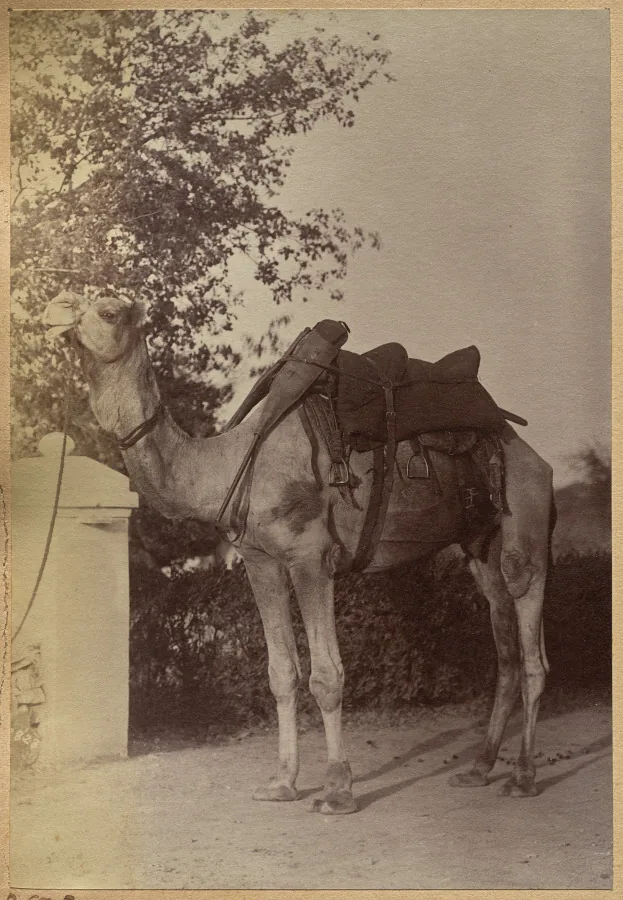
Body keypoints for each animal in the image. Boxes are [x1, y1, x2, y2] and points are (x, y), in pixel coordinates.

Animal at [43, 291, 555, 814]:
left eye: (108, 310)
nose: (52, 310)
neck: (228, 464)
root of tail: (531, 450)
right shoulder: (260, 561)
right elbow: (281, 673)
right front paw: (282, 783)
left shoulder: (311, 557)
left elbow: (326, 676)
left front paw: (337, 789)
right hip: (479, 545)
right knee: (505, 647)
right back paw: (478, 769)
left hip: (526, 520)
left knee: (532, 644)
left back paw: (523, 776)